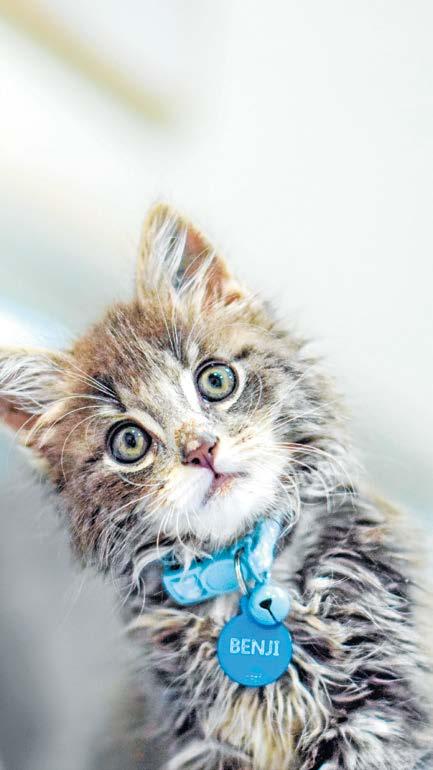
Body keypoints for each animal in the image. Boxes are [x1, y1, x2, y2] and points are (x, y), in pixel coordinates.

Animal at [0, 203, 431, 770]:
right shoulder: (201, 743)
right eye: (129, 441)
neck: (247, 574)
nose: (201, 450)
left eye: (216, 380)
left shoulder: (382, 715)